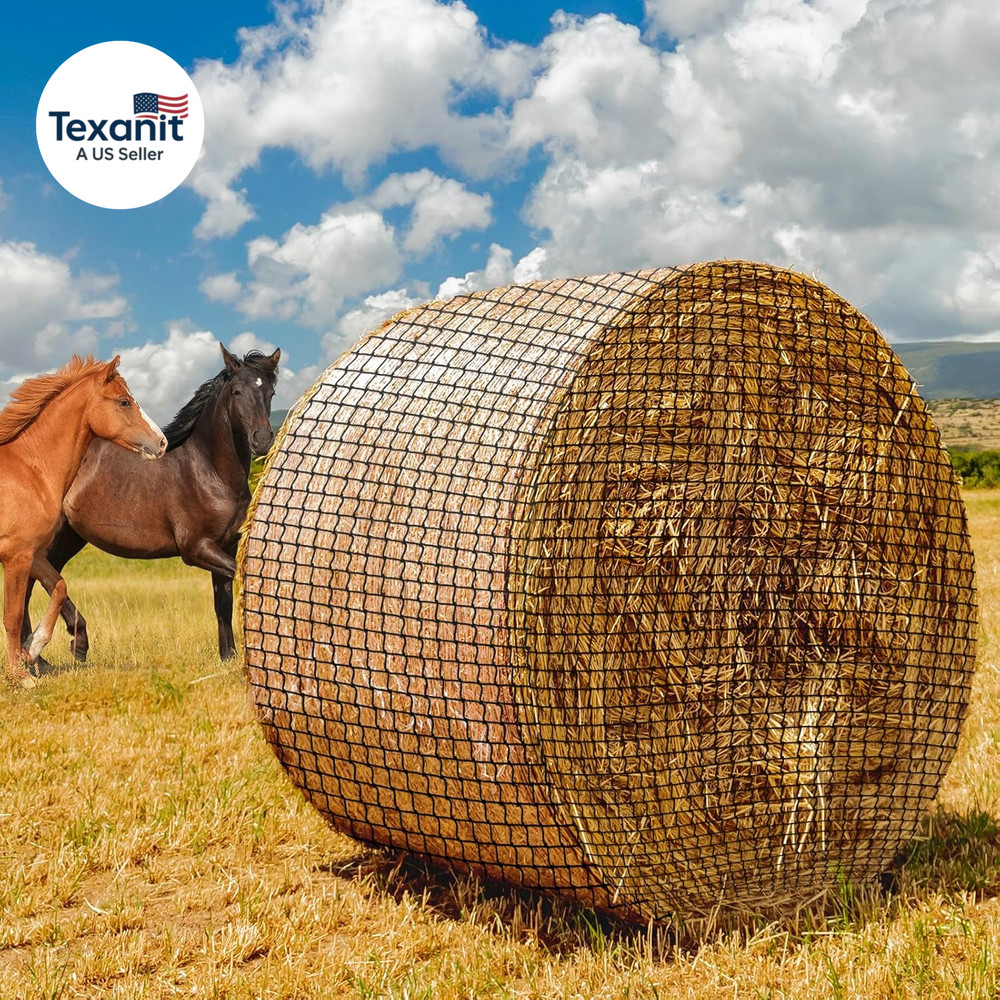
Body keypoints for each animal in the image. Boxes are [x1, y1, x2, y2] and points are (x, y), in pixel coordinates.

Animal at [0, 355, 166, 686]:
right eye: (124, 401)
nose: (162, 442)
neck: (31, 470)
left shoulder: (33, 554)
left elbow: (60, 587)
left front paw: (32, 650)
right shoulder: (16, 555)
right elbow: (12, 617)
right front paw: (21, 676)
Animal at [22, 345, 280, 664]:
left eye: (270, 392)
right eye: (236, 391)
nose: (263, 439)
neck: (209, 472)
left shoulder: (225, 546)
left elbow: (223, 604)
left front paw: (228, 657)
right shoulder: (196, 548)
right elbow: (242, 575)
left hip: (71, 537)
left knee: (45, 578)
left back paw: (56, 651)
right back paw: (48, 650)